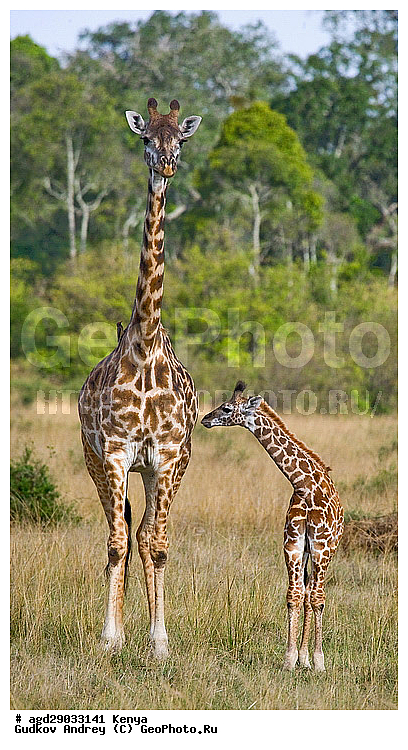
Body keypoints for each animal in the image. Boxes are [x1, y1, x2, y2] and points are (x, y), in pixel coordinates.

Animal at [201, 381, 344, 671]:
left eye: (227, 408)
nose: (205, 419)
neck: (305, 486)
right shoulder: (293, 545)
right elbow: (293, 596)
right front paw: (291, 659)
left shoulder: (322, 547)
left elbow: (318, 599)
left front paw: (319, 661)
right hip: (307, 553)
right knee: (305, 590)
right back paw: (302, 657)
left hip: (327, 551)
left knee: (315, 593)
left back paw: (311, 658)